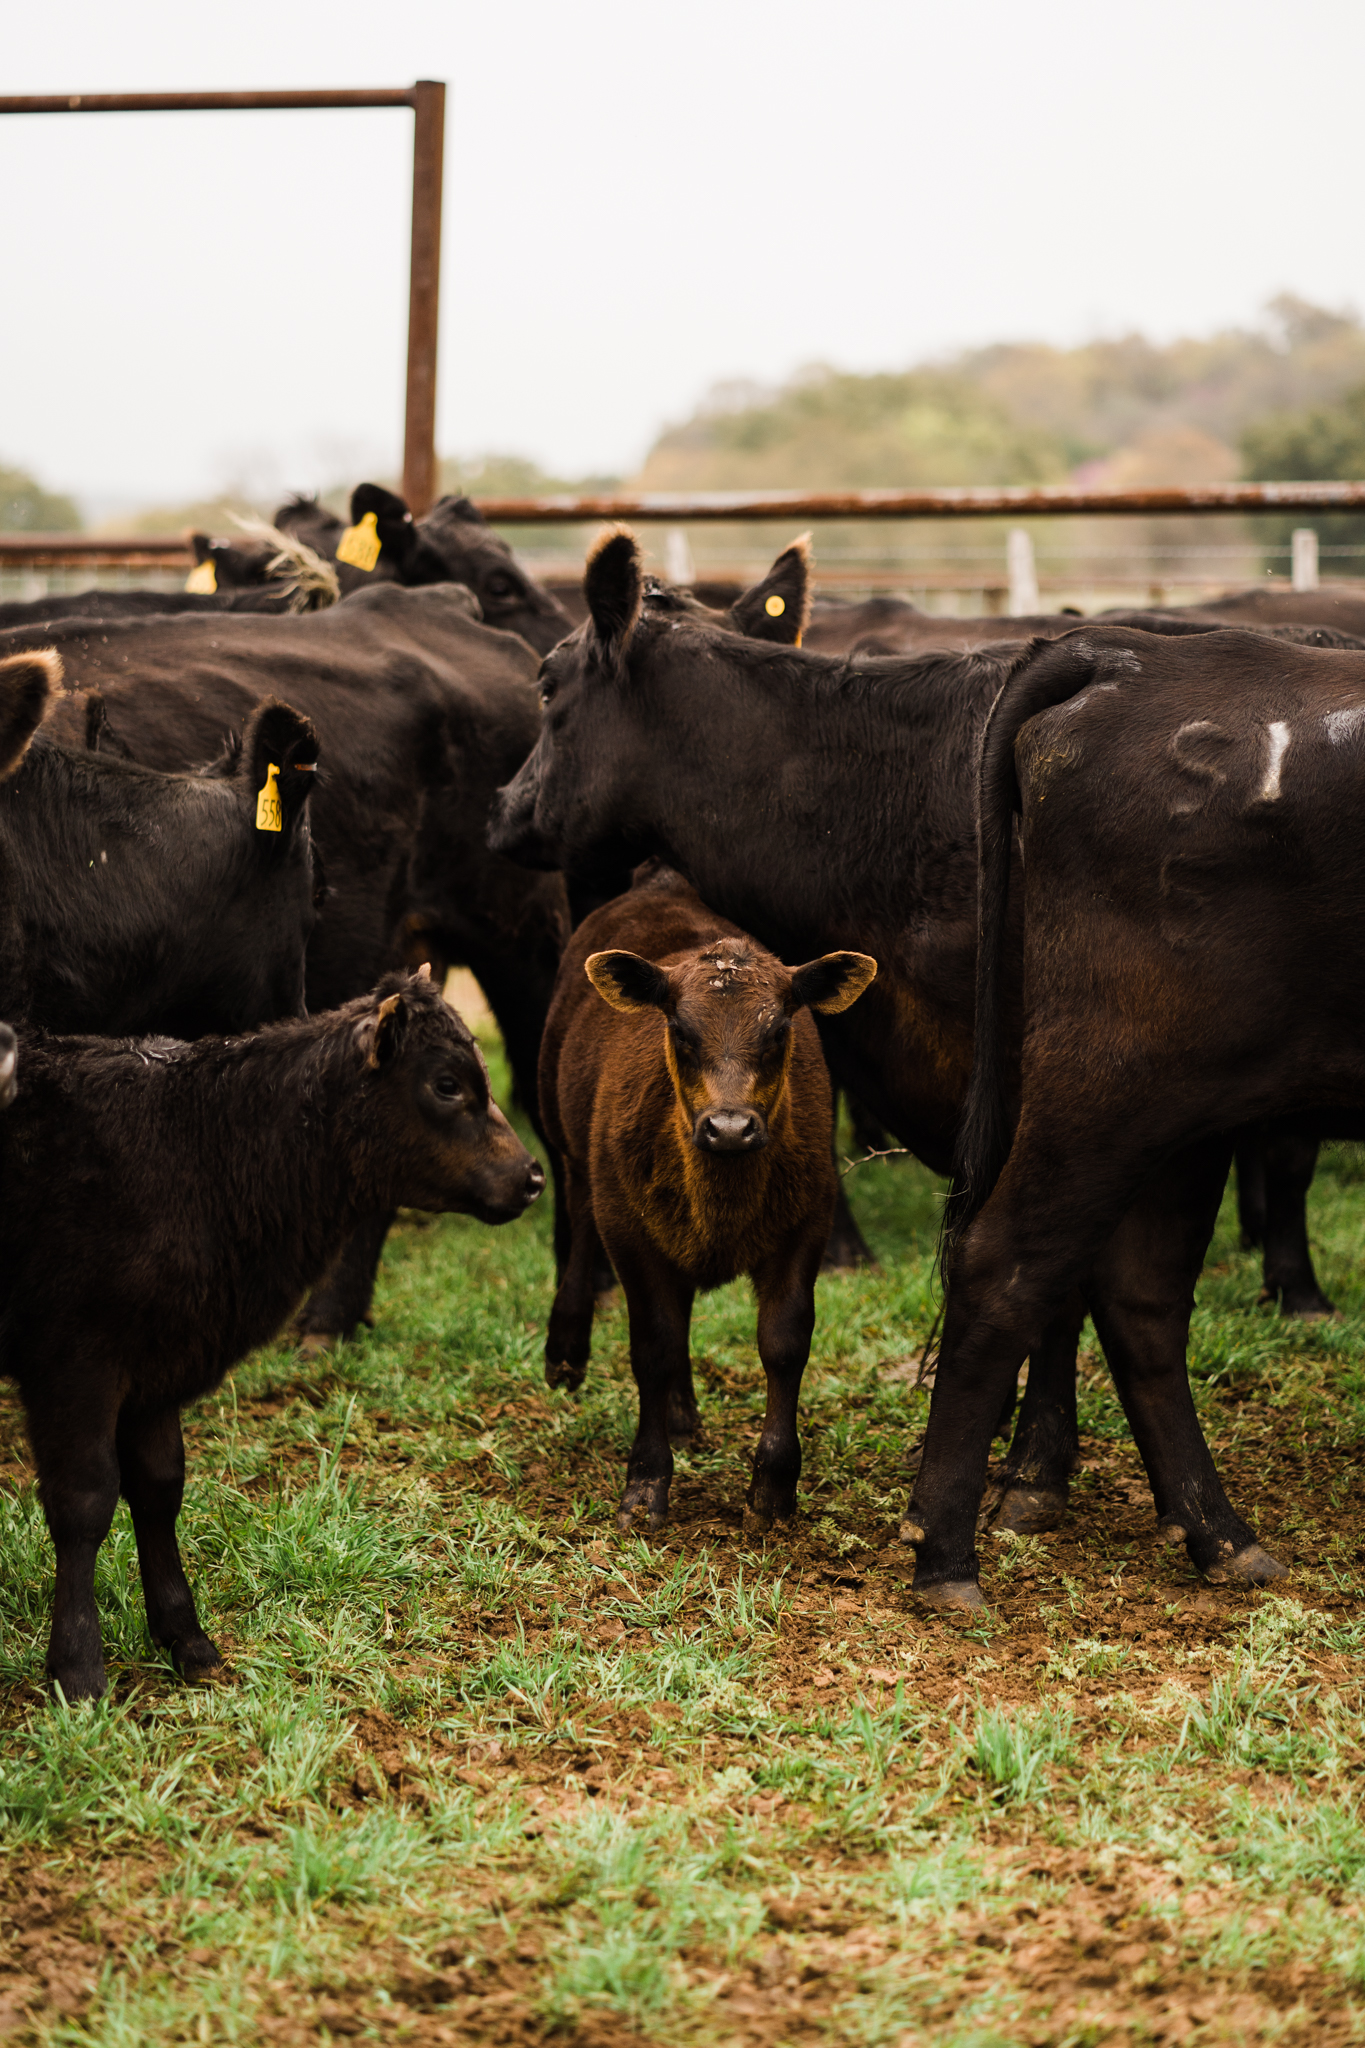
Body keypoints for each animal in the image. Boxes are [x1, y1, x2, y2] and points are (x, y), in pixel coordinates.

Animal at [2, 966, 545, 1702]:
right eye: (445, 1084)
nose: (532, 1176)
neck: (200, 1148)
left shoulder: (158, 1366)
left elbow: (159, 1487)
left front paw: (186, 1637)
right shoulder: (73, 1363)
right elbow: (84, 1501)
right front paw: (79, 1668)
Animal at [539, 862, 875, 1532]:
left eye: (779, 1030)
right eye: (679, 1029)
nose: (729, 1127)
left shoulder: (808, 1223)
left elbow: (783, 1342)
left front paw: (773, 1488)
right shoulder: (629, 1228)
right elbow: (653, 1345)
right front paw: (645, 1485)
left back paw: (683, 1414)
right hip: (568, 1144)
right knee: (580, 1226)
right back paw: (565, 1351)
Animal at [900, 622, 1365, 1608]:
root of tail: (1131, 653)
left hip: (1187, 1116)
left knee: (1139, 1295)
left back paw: (1219, 1534)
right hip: (1113, 1086)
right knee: (1005, 1262)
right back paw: (945, 1552)